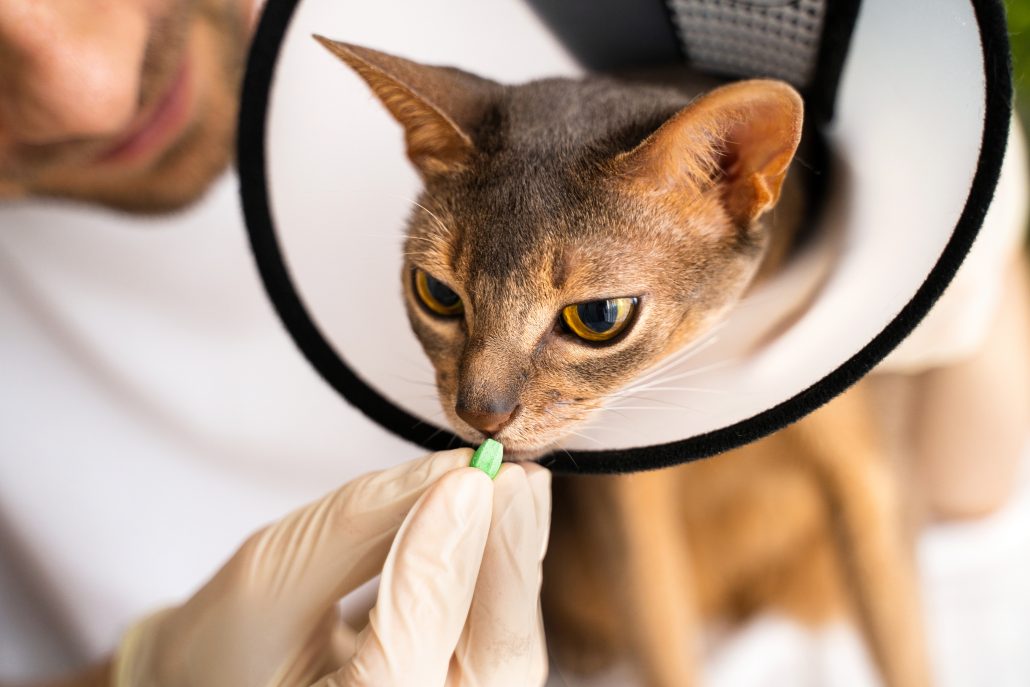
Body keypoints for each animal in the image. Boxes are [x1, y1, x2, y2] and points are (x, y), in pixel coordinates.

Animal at [317, 37, 931, 687]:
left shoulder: (871, 480)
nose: (480, 415)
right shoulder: (628, 508)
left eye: (599, 316)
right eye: (436, 292)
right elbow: (661, 639)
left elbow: (903, 640)